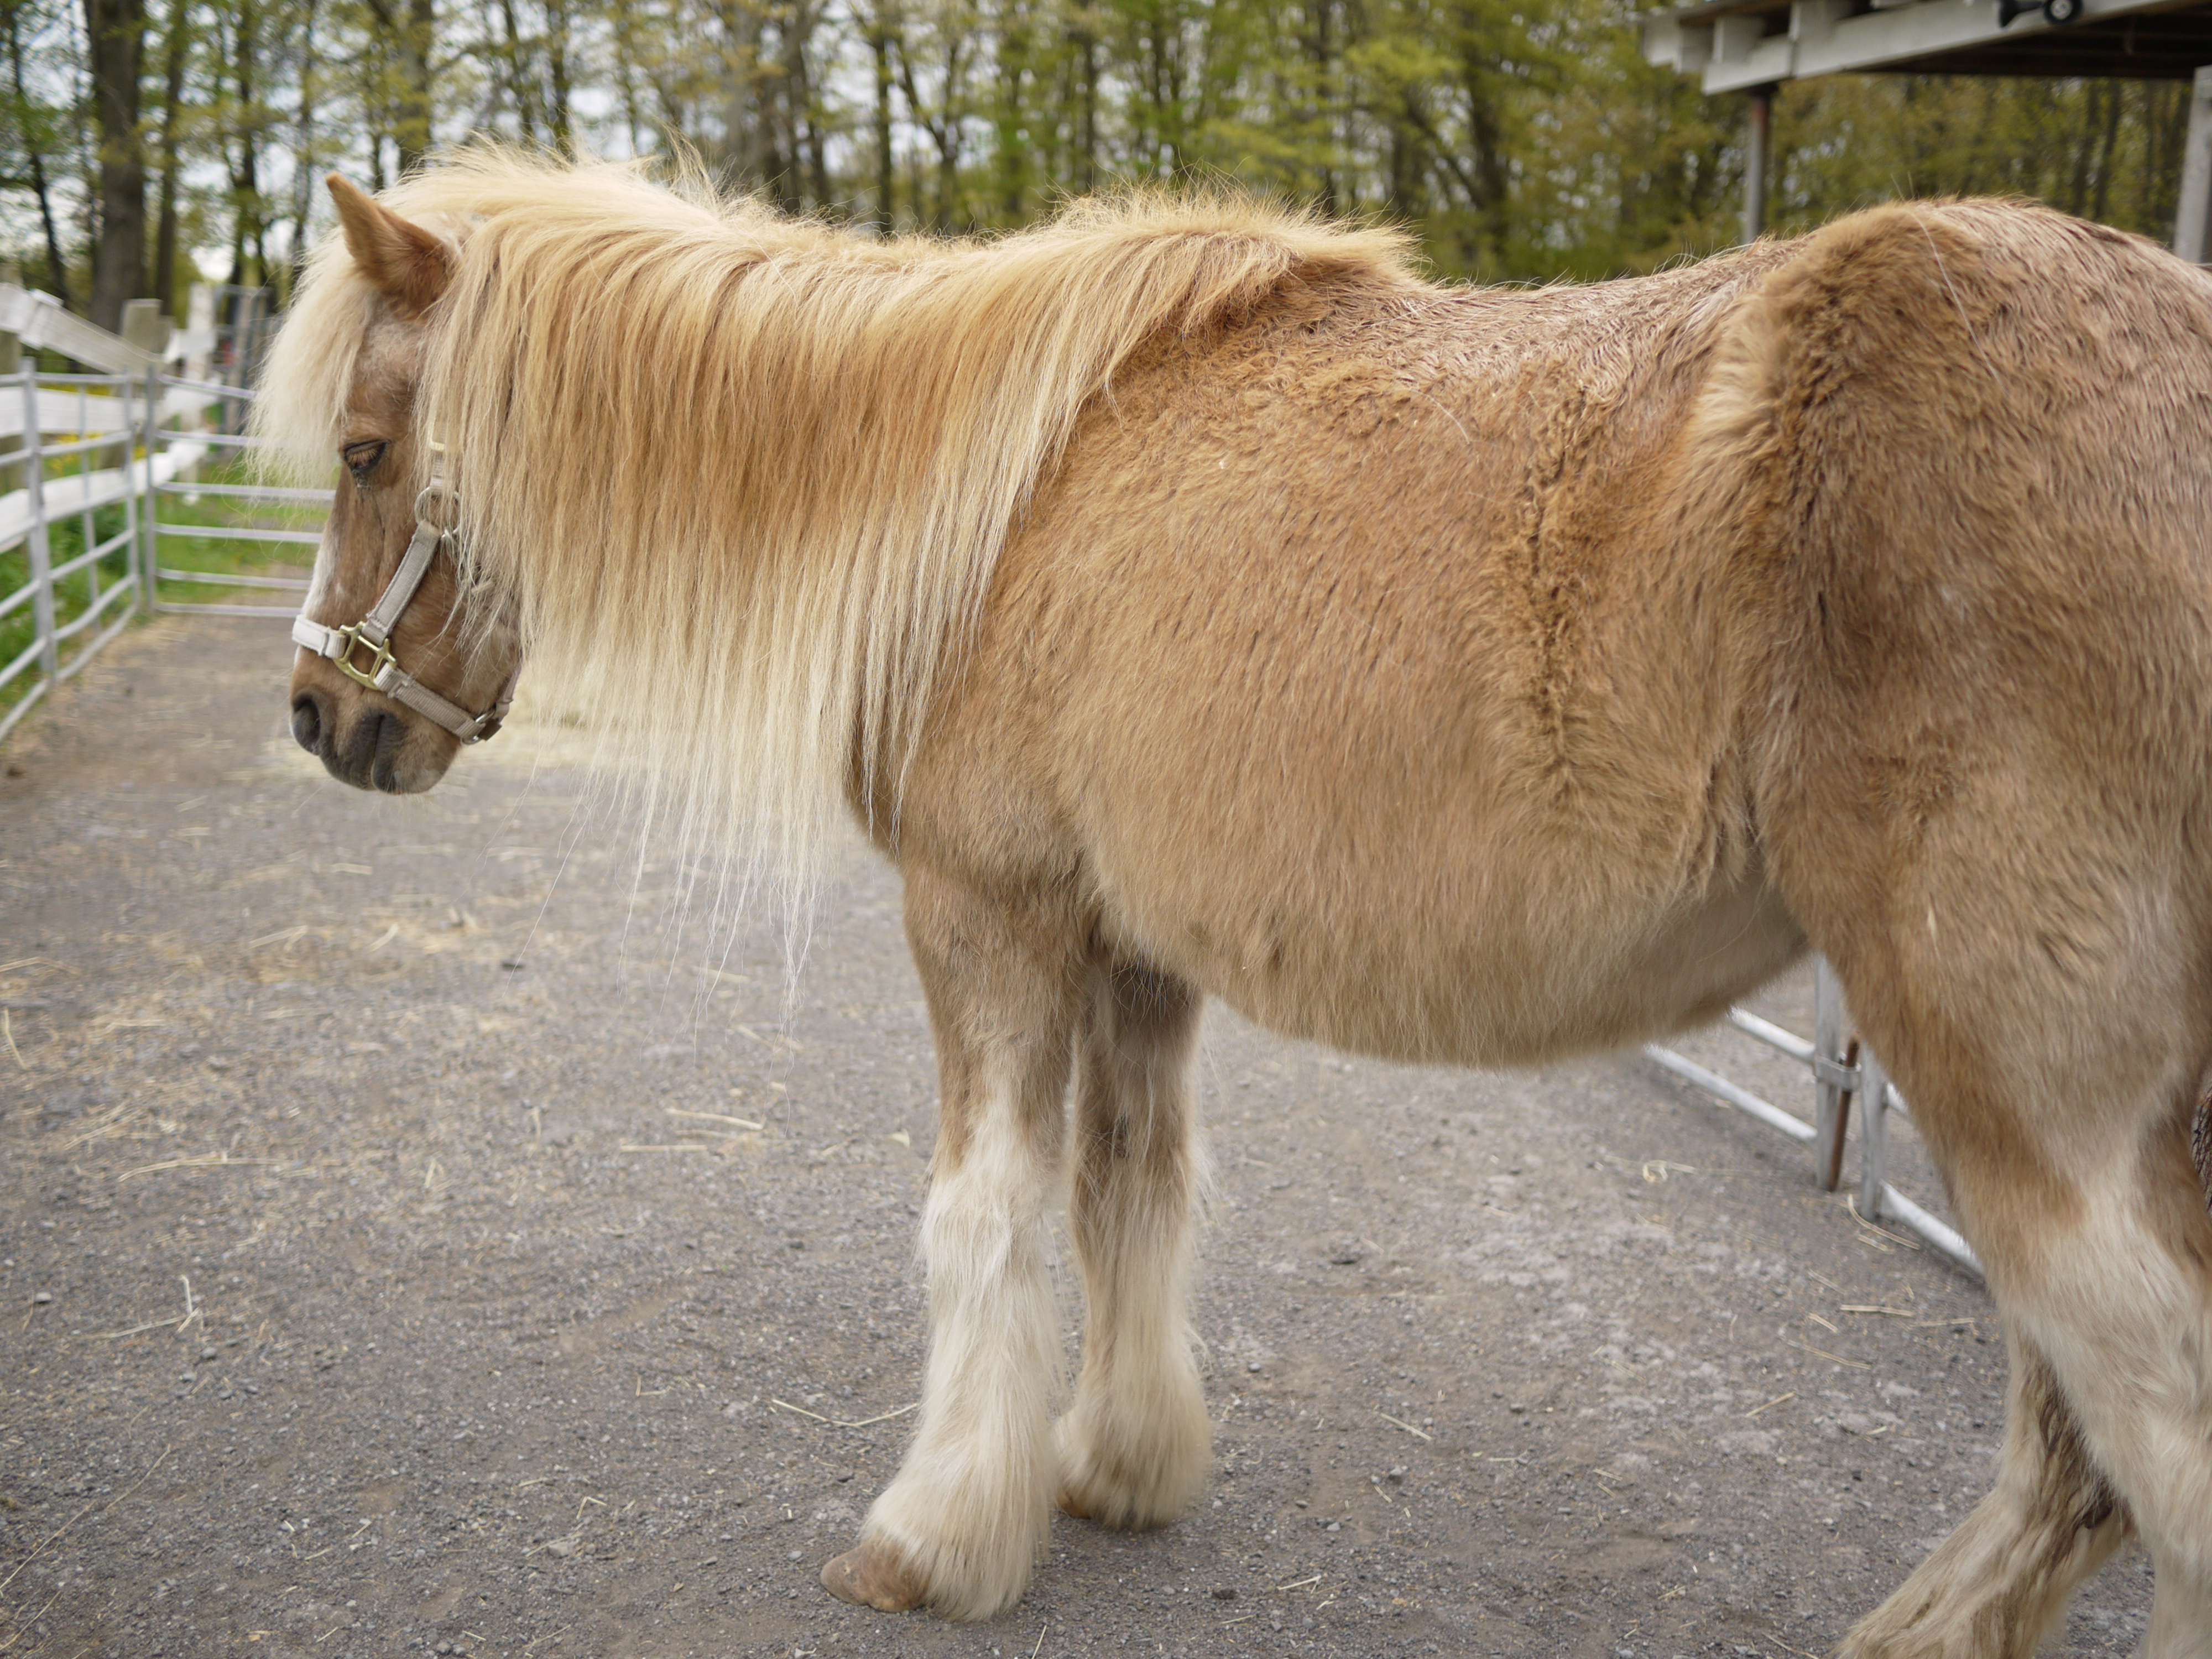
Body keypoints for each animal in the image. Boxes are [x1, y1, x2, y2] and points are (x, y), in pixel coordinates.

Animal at [257, 152, 2212, 1655]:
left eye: (363, 452)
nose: (323, 720)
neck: (986, 495)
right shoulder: (1129, 951)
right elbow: (1130, 1193)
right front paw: (1111, 1468)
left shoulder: (986, 916)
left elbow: (986, 1215)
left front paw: (931, 1537)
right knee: (2072, 1473)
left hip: (2025, 1108)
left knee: (2144, 1449)